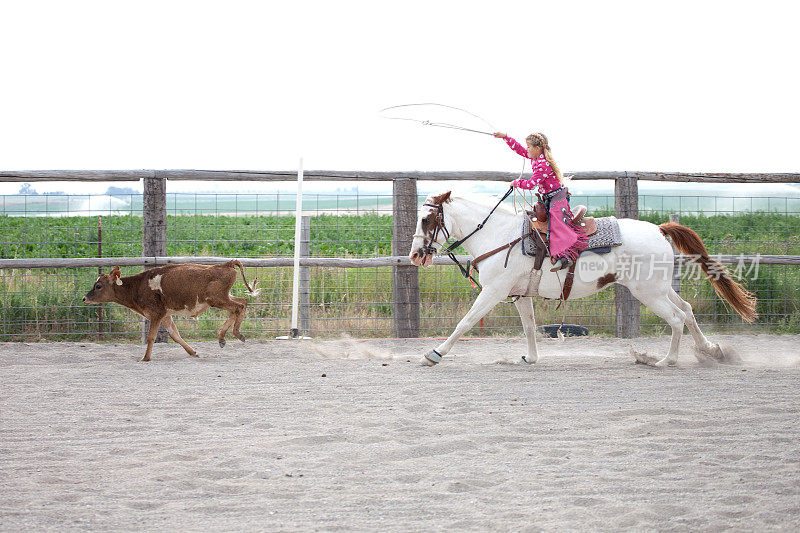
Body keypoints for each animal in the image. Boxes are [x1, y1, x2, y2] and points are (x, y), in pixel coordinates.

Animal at [81, 258, 258, 360]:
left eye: (98, 286)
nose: (84, 298)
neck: (137, 286)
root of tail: (226, 264)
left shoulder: (156, 314)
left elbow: (151, 336)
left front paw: (145, 358)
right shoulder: (165, 315)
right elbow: (175, 335)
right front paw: (193, 352)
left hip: (215, 299)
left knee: (238, 307)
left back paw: (231, 334)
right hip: (223, 297)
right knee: (242, 303)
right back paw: (226, 336)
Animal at [410, 190, 760, 366]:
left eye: (427, 219)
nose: (415, 255)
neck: (501, 234)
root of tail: (659, 229)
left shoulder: (494, 291)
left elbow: (465, 322)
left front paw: (435, 353)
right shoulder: (519, 295)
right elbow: (529, 328)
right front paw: (530, 358)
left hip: (649, 293)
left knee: (675, 319)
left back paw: (666, 361)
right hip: (659, 288)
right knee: (686, 311)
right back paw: (711, 351)